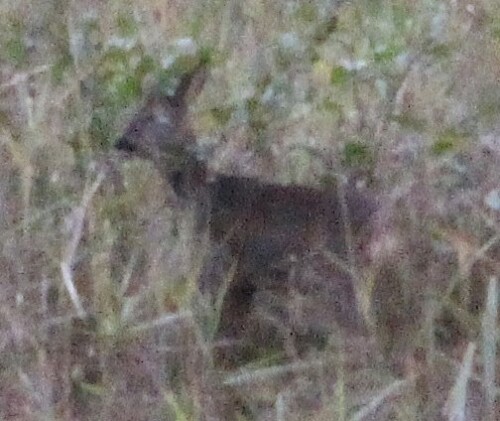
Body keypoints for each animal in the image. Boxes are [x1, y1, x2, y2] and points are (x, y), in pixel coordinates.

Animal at [115, 65, 376, 364]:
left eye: (153, 116)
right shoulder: (243, 282)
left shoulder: (222, 268)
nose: (122, 142)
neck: (206, 195)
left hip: (339, 275)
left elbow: (222, 334)